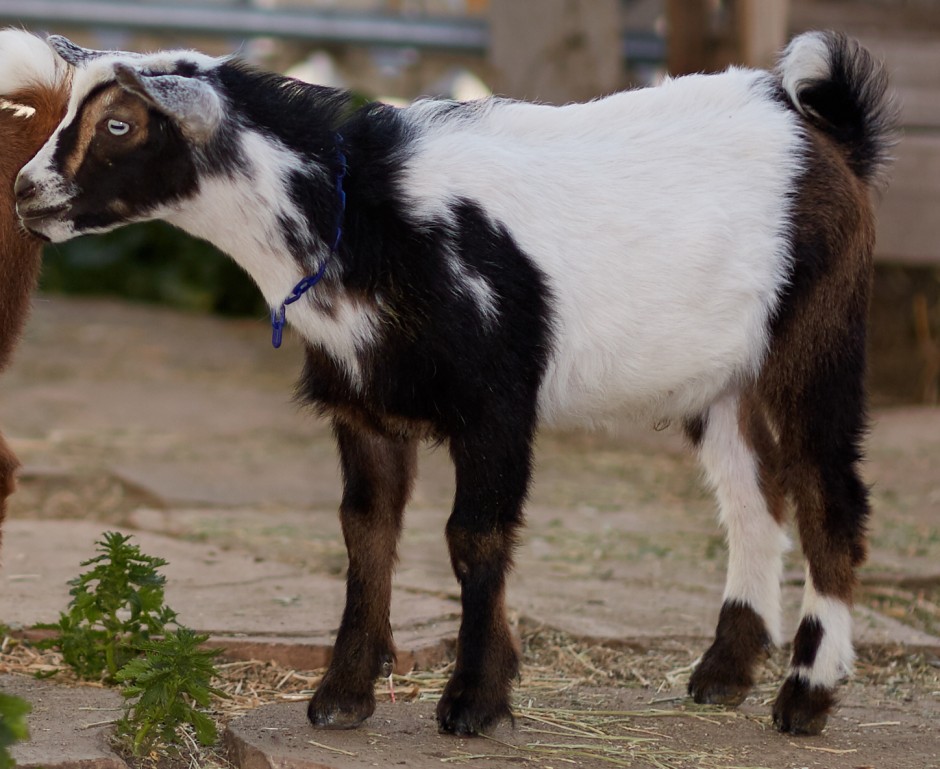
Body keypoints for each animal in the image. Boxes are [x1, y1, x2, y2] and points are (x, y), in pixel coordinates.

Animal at [15, 31, 898, 736]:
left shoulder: (496, 404)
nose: (26, 192)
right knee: (754, 501)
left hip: (817, 342)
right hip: (720, 376)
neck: (363, 214)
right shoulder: (365, 409)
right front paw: (343, 695)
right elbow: (365, 533)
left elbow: (473, 538)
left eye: (120, 124)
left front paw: (474, 700)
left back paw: (806, 696)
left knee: (829, 501)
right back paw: (722, 676)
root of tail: (824, 132)